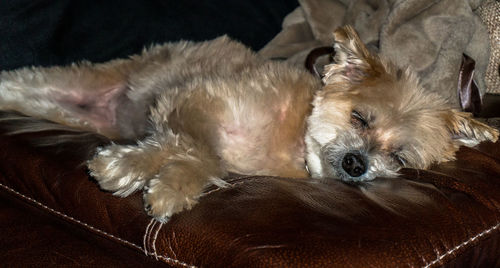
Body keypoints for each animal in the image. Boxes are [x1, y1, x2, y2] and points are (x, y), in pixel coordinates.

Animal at [0, 26, 498, 221]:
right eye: (360, 117)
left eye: (398, 155)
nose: (358, 165)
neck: (293, 137)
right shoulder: (187, 102)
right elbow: (201, 148)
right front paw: (130, 172)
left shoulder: (185, 119)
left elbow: (205, 158)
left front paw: (167, 186)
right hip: (60, 82)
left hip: (59, 106)